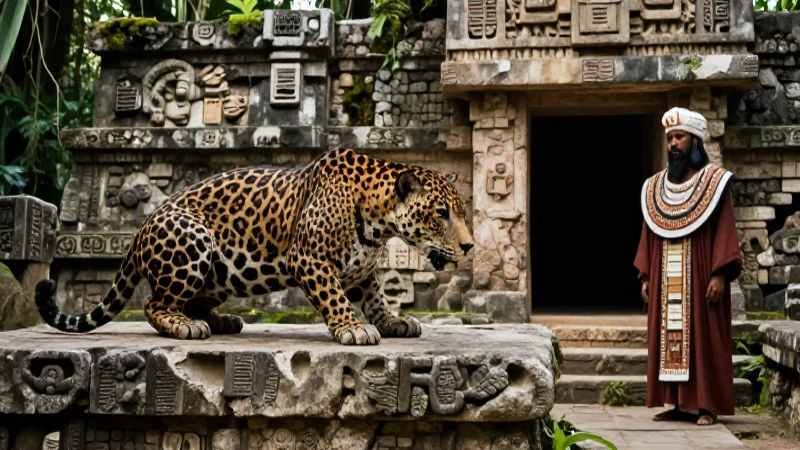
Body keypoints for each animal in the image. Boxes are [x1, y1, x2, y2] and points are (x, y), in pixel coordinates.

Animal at [34, 148, 474, 345]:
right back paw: (185, 325)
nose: (470, 247)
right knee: (154, 304)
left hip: (218, 273)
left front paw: (393, 321)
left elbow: (377, 297)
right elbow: (335, 297)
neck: (378, 223)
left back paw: (221, 320)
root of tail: (141, 229)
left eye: (461, 212)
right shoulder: (309, 258)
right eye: (441, 213)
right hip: (193, 238)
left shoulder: (363, 268)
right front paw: (352, 328)